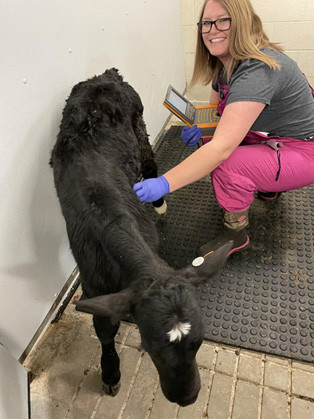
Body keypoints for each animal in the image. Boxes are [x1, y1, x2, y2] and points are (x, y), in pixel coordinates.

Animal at [50, 69, 229, 406]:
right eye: (151, 346)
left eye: (200, 341)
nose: (187, 397)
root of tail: (105, 76)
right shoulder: (93, 283)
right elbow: (104, 332)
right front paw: (110, 373)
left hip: (139, 127)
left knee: (148, 162)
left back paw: (158, 201)